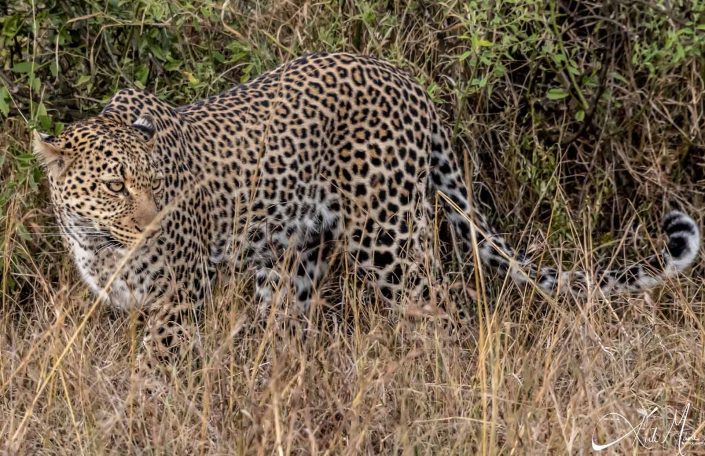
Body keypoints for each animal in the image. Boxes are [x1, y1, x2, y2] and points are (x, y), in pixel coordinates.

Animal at [31, 51, 700, 362]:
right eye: (115, 186)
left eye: (154, 184)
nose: (153, 226)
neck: (97, 243)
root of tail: (408, 81)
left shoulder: (179, 298)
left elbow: (156, 370)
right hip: (294, 259)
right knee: (289, 331)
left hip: (390, 239)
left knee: (441, 313)